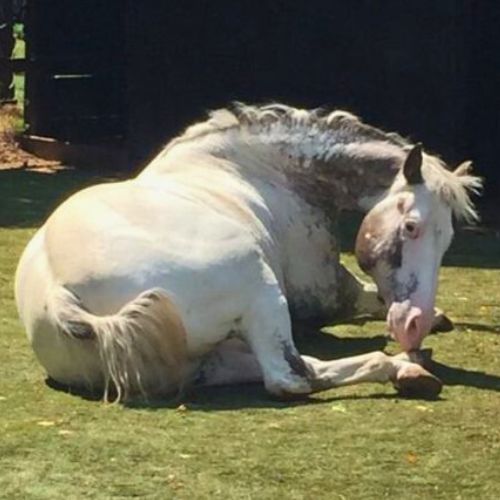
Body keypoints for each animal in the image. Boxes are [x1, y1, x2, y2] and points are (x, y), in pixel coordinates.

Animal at [14, 103, 480, 400]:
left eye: (447, 240)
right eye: (411, 226)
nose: (413, 324)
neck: (261, 170)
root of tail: (60, 296)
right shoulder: (322, 292)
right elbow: (366, 297)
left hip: (204, 363)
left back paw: (410, 364)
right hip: (261, 291)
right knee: (290, 378)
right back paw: (403, 363)